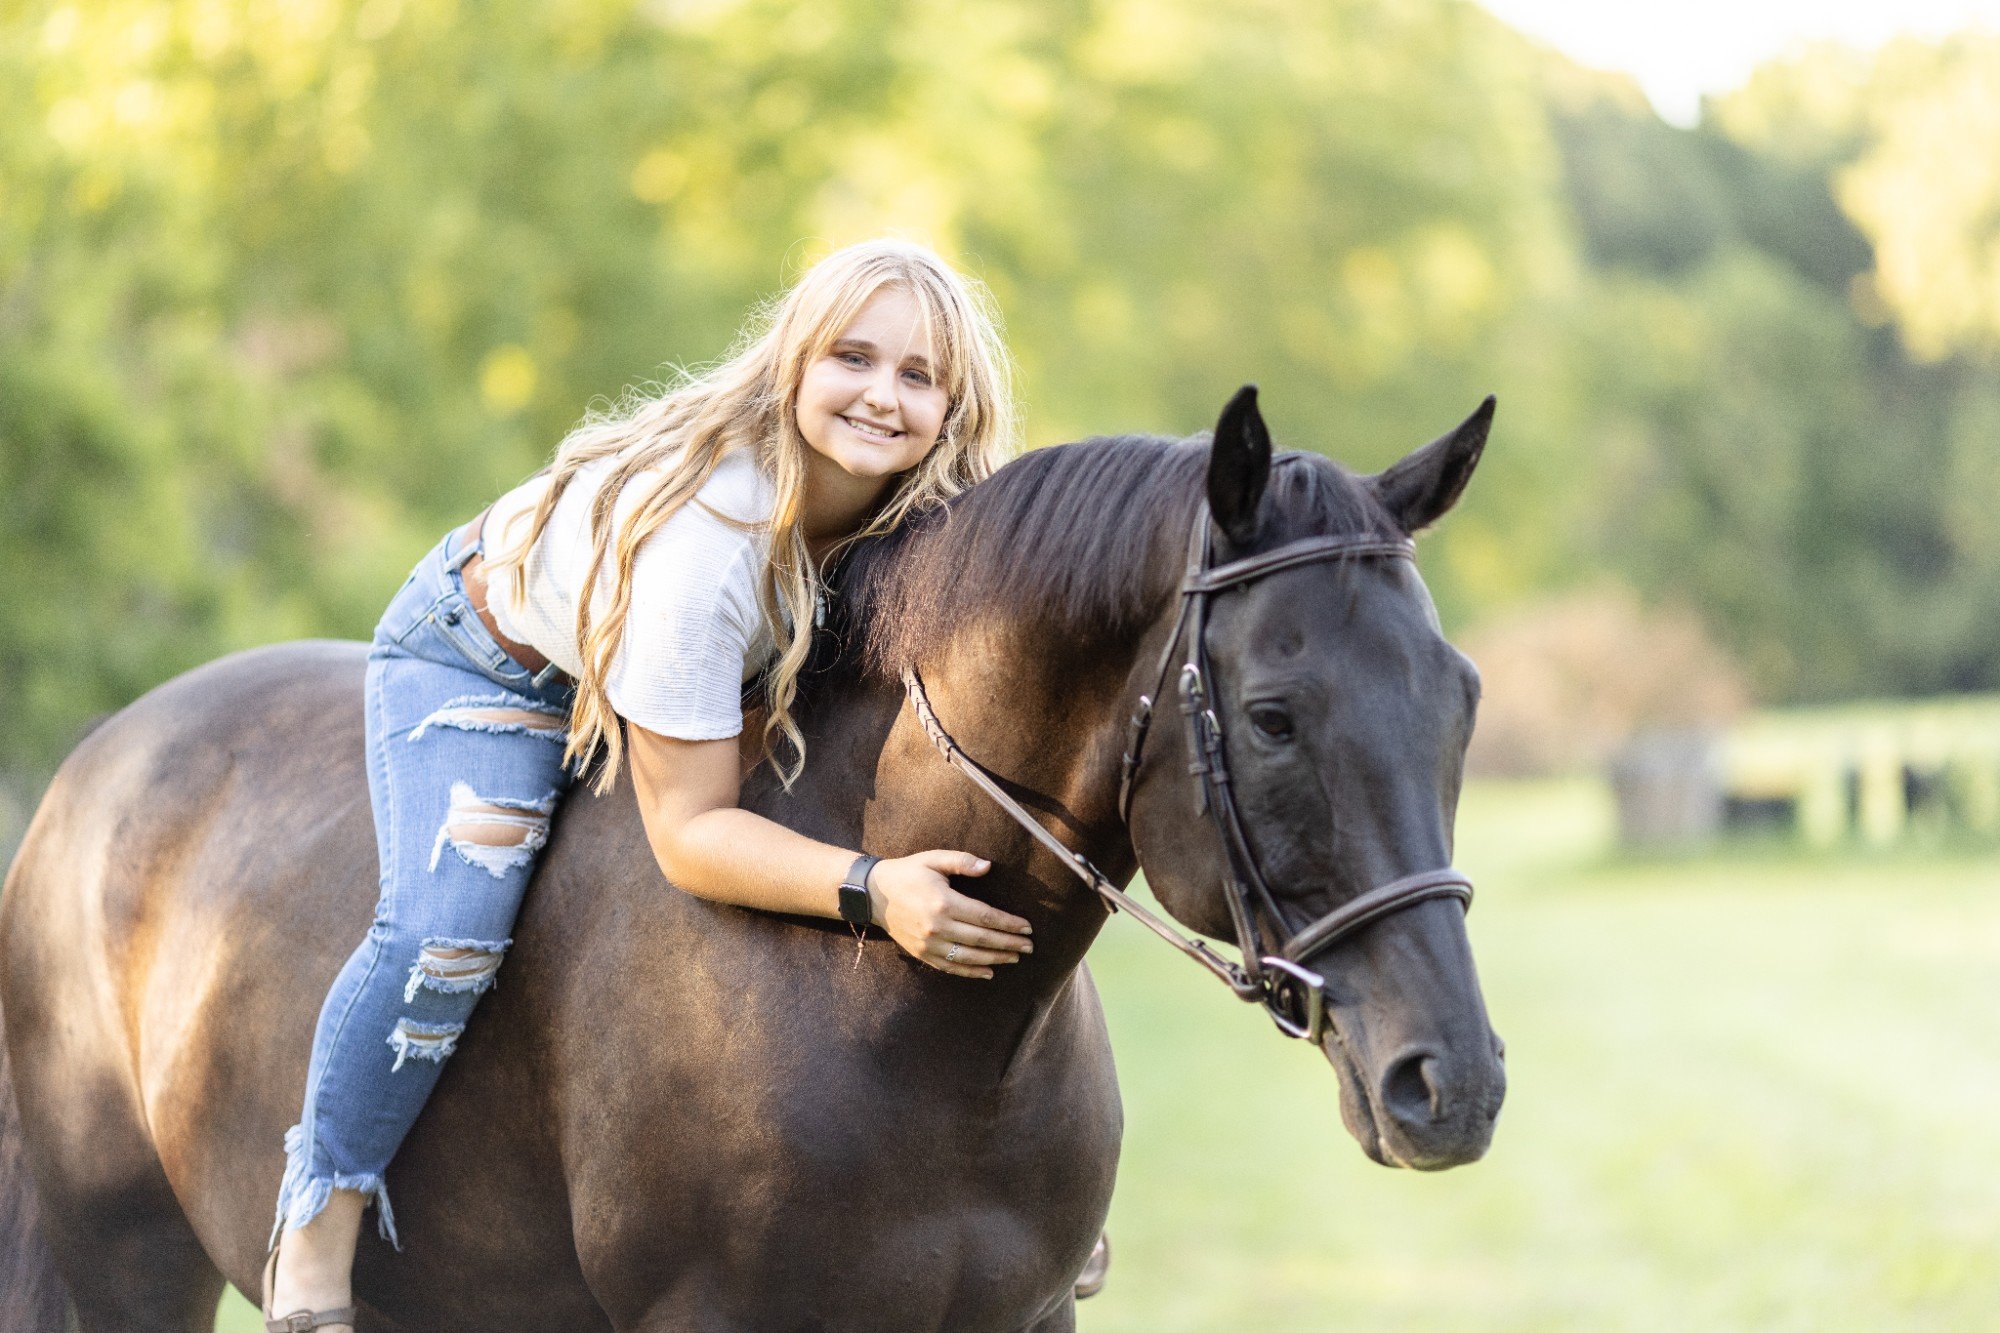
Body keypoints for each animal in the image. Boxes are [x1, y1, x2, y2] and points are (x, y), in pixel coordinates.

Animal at [0, 386, 1504, 1328]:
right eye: (1274, 715)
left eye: (1461, 696)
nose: (1453, 1084)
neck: (897, 1014)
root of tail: (90, 768)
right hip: (127, 1260)